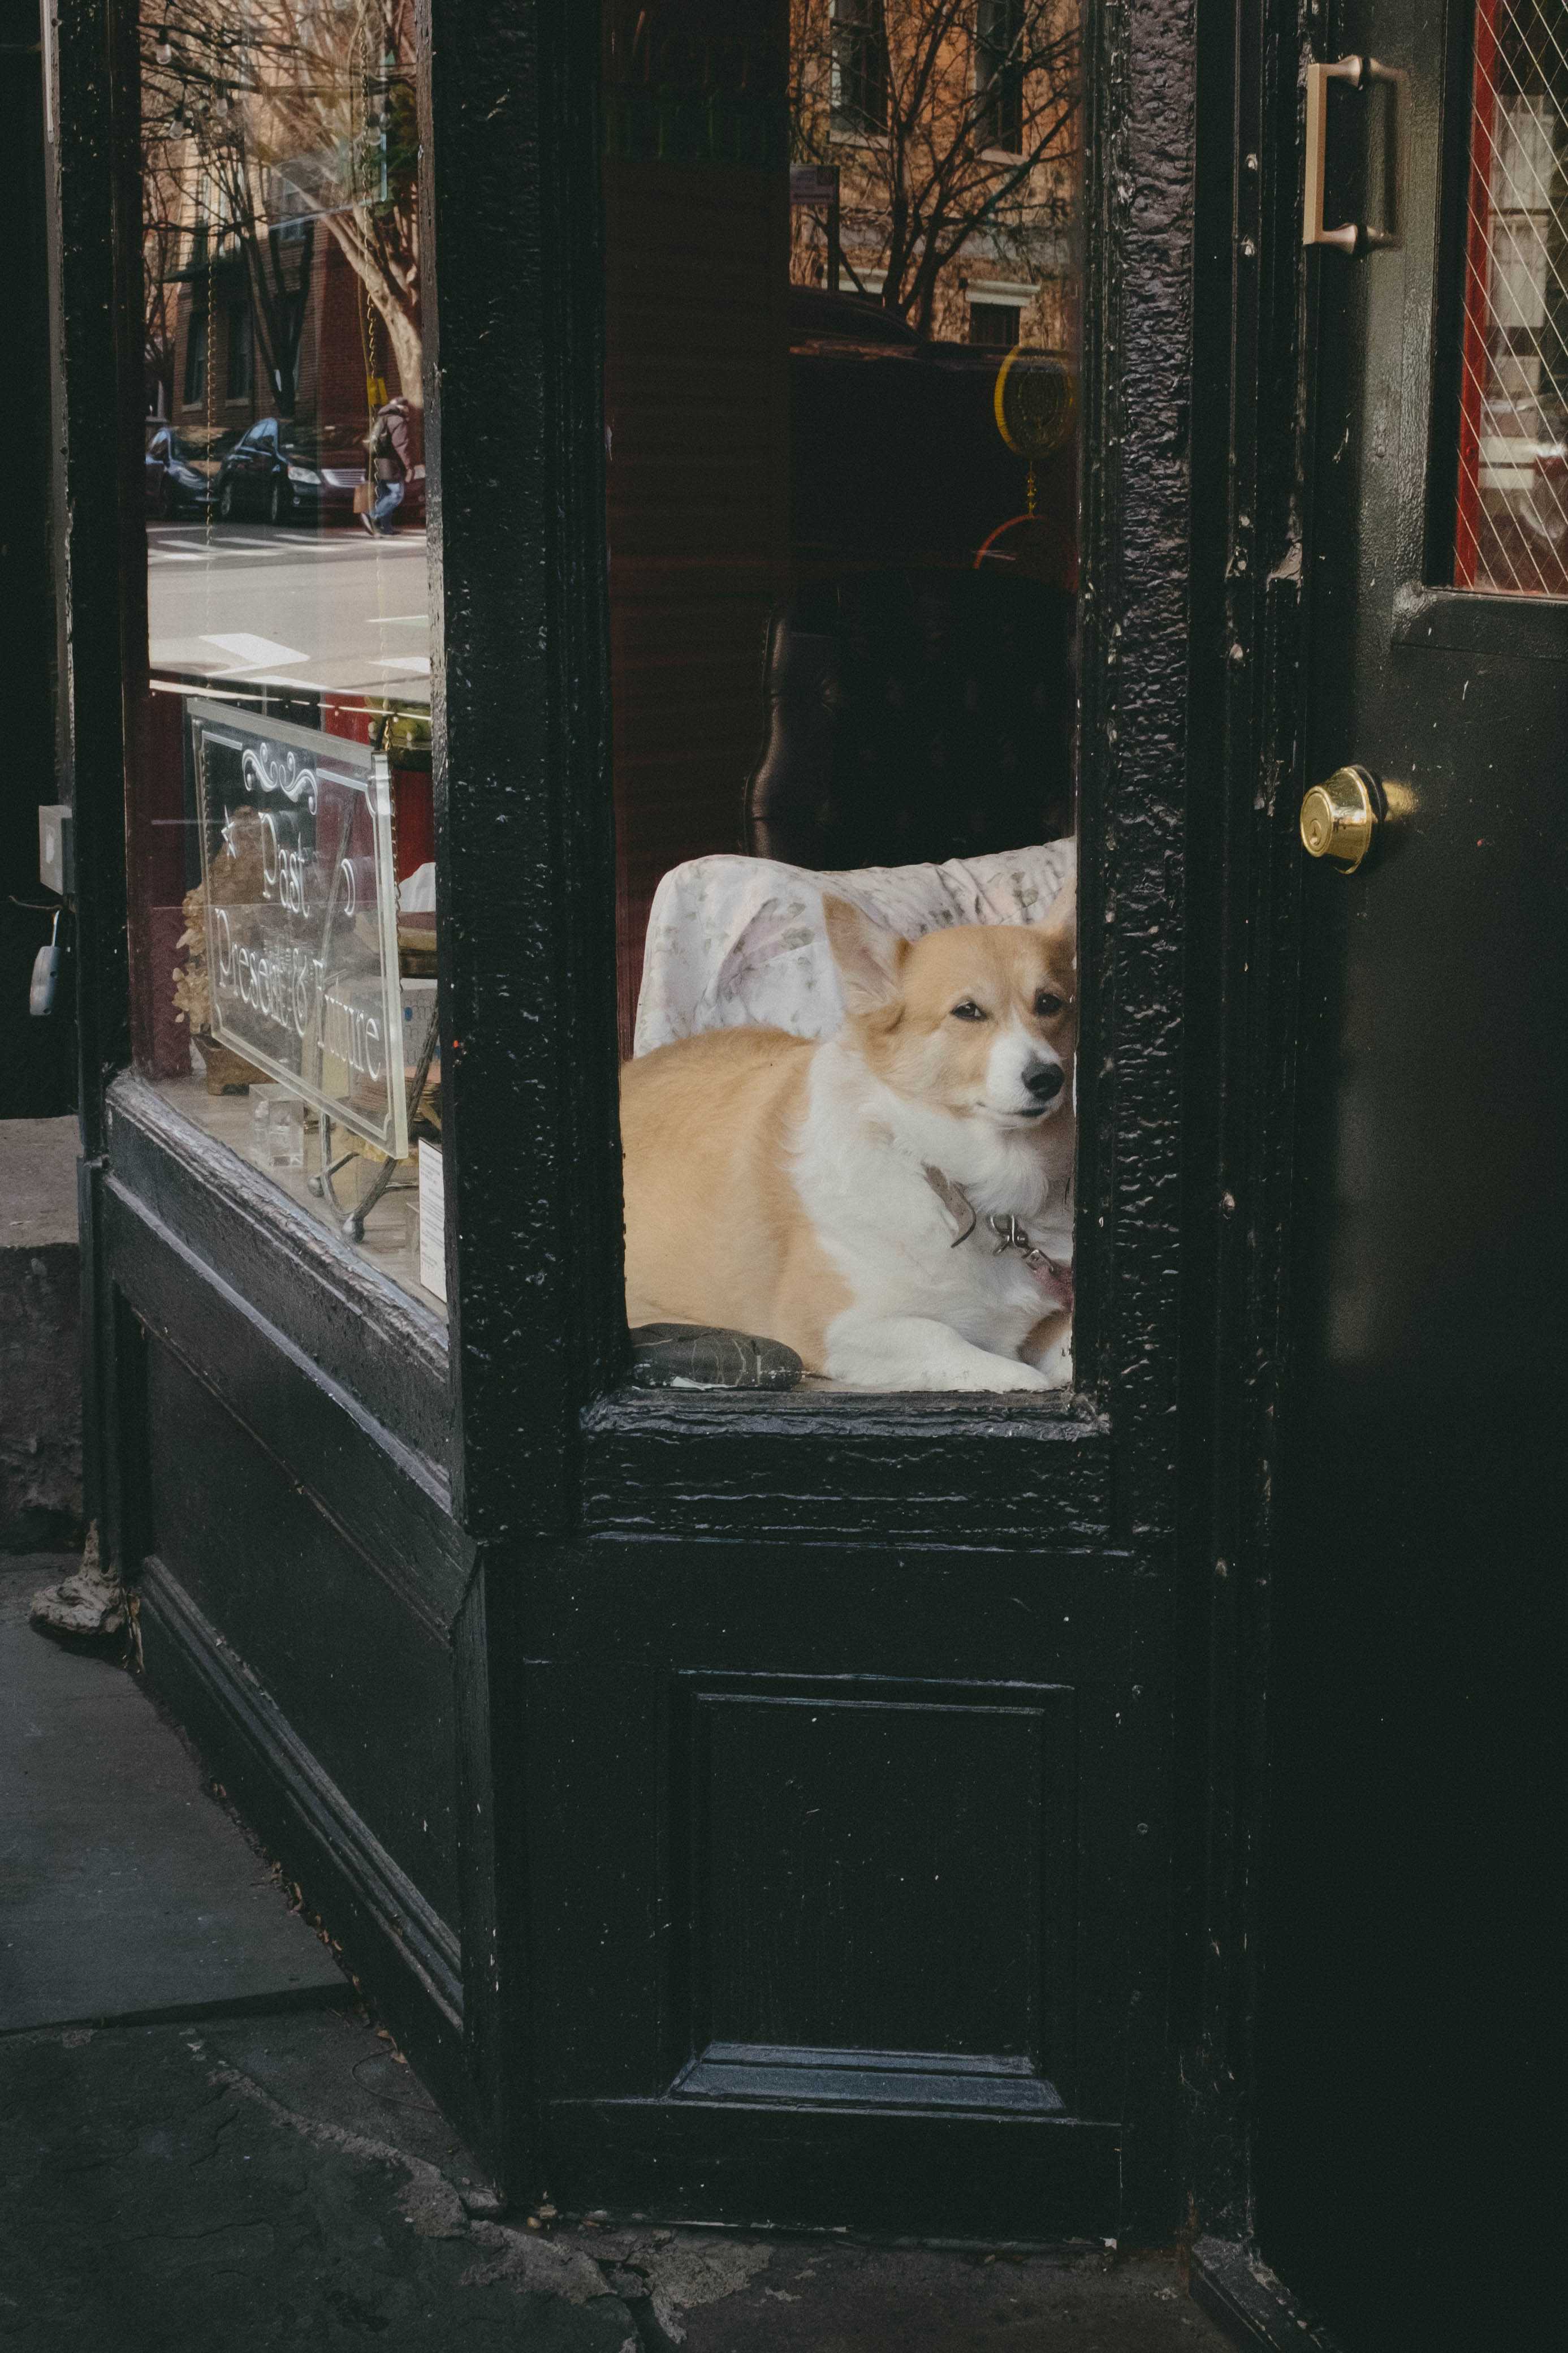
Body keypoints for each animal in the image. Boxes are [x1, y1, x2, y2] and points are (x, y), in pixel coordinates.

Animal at [625, 889, 1081, 1384]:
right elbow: (954, 1344)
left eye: (1049, 1003)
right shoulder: (837, 1328)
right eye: (968, 1011)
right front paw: (1021, 1378)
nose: (1047, 1079)